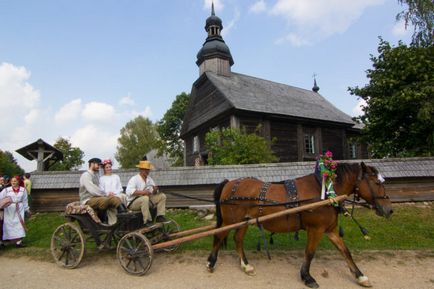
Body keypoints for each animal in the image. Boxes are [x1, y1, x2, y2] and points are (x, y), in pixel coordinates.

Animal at [207, 161, 394, 286]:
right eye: (377, 183)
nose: (389, 210)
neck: (325, 193)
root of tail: (229, 183)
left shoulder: (330, 230)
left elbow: (345, 251)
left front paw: (360, 276)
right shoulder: (316, 229)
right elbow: (310, 253)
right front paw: (307, 277)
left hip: (243, 221)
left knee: (238, 240)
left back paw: (246, 266)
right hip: (230, 220)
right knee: (219, 236)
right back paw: (211, 262)